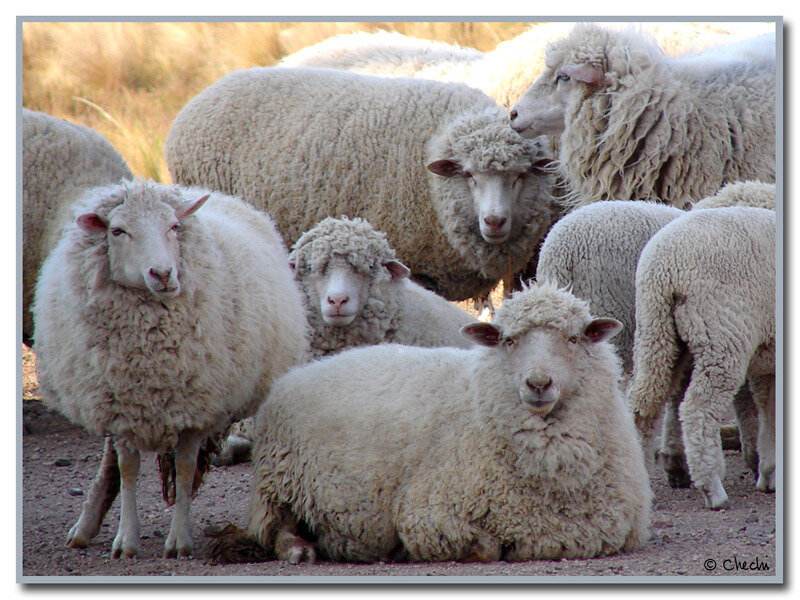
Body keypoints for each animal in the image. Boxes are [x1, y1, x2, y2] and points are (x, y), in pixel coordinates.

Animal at [31, 179, 309, 558]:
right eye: (117, 231)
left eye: (174, 227)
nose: (163, 274)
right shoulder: (121, 410)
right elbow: (128, 469)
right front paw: (126, 540)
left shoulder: (194, 408)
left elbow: (185, 466)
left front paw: (179, 539)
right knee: (109, 465)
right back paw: (85, 527)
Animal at [165, 66, 556, 302]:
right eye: (470, 176)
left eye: (521, 176)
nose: (495, 221)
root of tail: (201, 97)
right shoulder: (418, 268)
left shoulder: (518, 269)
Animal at [209, 282, 651, 564]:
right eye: (508, 340)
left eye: (575, 339)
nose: (538, 384)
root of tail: (297, 373)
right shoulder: (428, 513)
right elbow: (486, 548)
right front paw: (402, 551)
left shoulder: (609, 529)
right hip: (277, 483)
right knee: (273, 529)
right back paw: (302, 549)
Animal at [627, 206, 776, 509]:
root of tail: (664, 265)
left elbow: (769, 410)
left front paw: (768, 474)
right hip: (722, 332)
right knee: (697, 407)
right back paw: (712, 488)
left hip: (656, 330)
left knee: (643, 404)